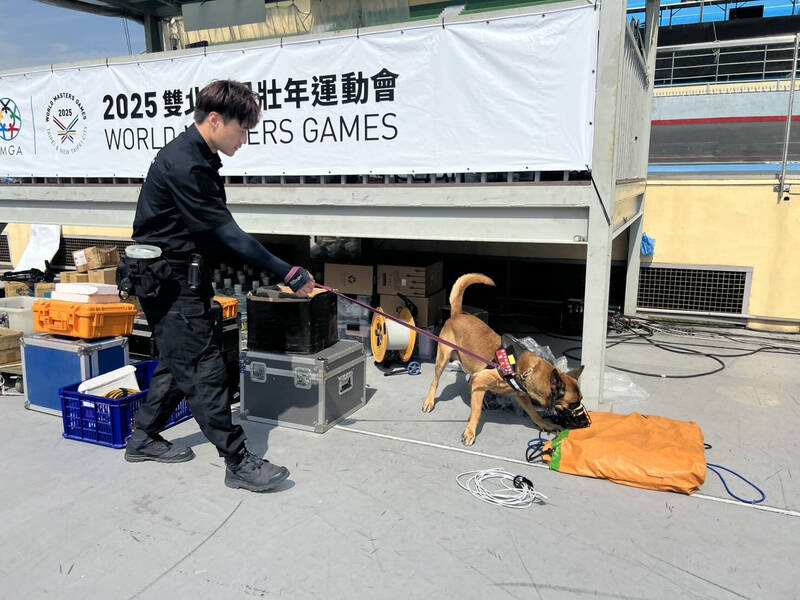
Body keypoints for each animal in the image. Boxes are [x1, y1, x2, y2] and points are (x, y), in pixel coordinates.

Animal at [422, 273, 585, 446]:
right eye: (574, 403)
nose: (585, 423)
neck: (523, 369)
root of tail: (457, 314)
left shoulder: (521, 396)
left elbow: (534, 413)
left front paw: (545, 424)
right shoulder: (483, 379)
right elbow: (476, 413)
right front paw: (470, 431)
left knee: (470, 383)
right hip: (442, 360)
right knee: (435, 382)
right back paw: (429, 401)